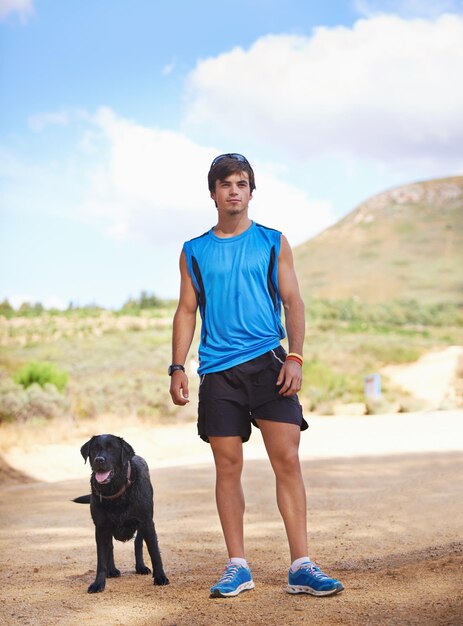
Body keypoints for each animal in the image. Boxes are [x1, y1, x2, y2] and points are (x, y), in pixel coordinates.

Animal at [74, 432, 170, 592]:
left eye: (112, 448)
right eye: (94, 448)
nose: (99, 460)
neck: (115, 492)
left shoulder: (147, 522)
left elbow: (155, 553)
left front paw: (160, 577)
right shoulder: (101, 528)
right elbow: (101, 559)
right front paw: (98, 583)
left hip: (142, 526)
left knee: (138, 543)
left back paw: (140, 567)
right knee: (110, 549)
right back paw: (112, 570)